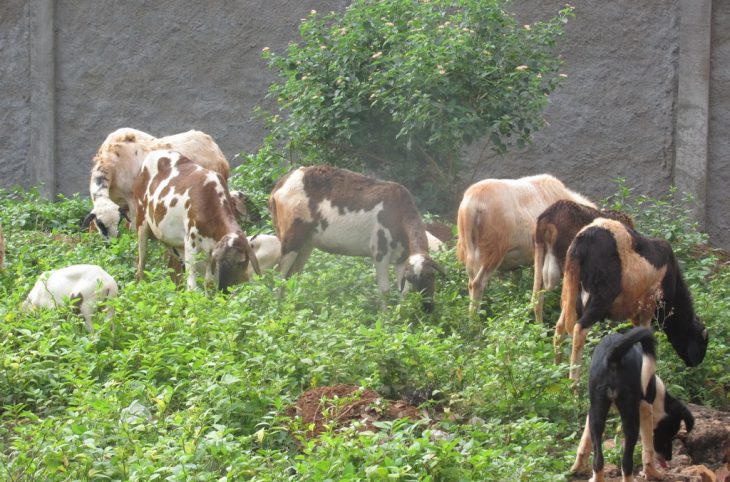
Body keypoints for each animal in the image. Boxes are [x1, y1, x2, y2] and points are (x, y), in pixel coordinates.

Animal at [264, 164, 440, 310]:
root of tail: (281, 183)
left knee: (293, 276)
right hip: (291, 237)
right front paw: (386, 319)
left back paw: (292, 306)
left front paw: (403, 316)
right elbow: (385, 290)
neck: (399, 213)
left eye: (432, 276)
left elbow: (403, 291)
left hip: (306, 243)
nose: (427, 307)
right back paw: (278, 308)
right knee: (279, 275)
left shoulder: (402, 258)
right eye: (413, 279)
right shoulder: (380, 251)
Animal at [552, 217, 704, 382]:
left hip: (571, 292)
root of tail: (583, 238)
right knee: (579, 329)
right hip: (602, 296)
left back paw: (557, 371)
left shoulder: (634, 313)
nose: (694, 366)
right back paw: (574, 385)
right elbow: (645, 333)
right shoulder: (649, 304)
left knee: (560, 327)